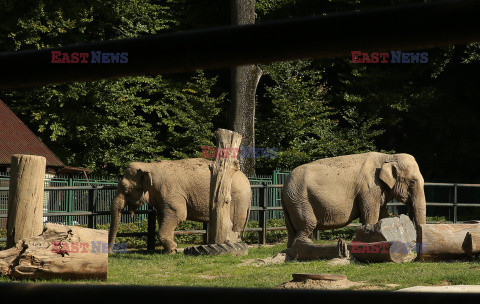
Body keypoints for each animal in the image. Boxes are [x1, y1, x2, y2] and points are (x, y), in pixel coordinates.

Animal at [108, 158, 251, 253]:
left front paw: (173, 249)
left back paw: (233, 243)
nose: (110, 252)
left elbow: (179, 215)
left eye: (126, 189)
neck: (149, 166)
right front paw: (170, 250)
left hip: (238, 200)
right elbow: (163, 217)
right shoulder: (161, 197)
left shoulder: (172, 192)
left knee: (235, 224)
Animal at [282, 153, 428, 248]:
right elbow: (370, 214)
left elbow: (382, 215)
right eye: (413, 182)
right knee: (308, 222)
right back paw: (306, 244)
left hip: (292, 201)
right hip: (299, 198)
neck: (388, 157)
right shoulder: (369, 188)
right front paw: (370, 240)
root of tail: (283, 186)